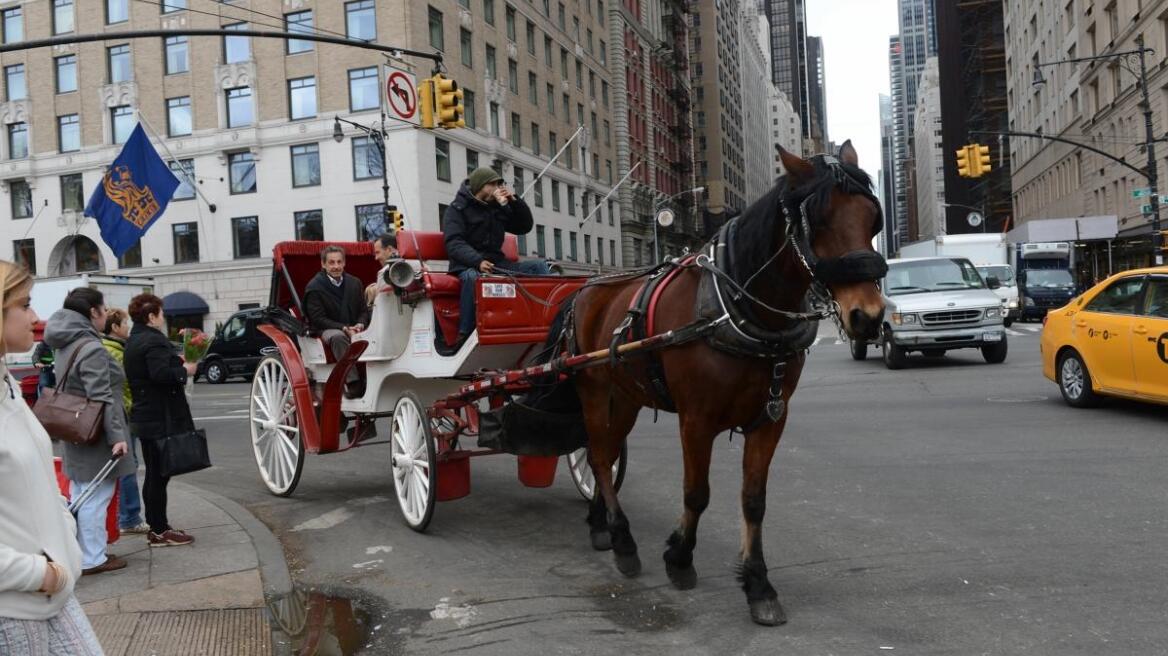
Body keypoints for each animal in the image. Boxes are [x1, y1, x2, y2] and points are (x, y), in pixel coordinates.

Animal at [560, 141, 878, 620]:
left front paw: (758, 584)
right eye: (818, 221)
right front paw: (679, 558)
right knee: (598, 456)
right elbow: (697, 493)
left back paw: (602, 525)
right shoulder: (696, 418)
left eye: (874, 220)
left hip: (627, 394)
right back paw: (623, 541)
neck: (739, 309)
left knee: (607, 453)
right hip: (593, 388)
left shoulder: (771, 417)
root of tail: (588, 285)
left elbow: (754, 499)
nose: (869, 316)